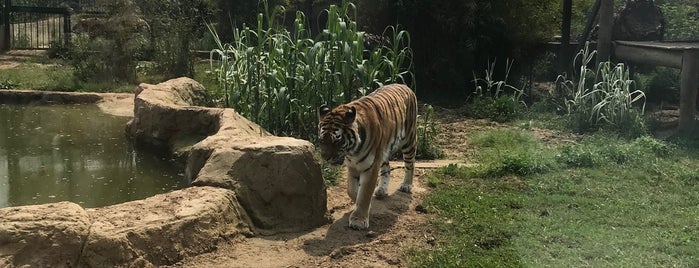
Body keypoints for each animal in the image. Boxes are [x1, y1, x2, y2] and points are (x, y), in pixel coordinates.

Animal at [320, 83, 418, 230]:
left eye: (336, 141)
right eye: (321, 140)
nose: (325, 158)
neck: (352, 151)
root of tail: (404, 85)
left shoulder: (370, 167)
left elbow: (365, 193)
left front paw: (358, 220)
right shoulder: (352, 166)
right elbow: (351, 190)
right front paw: (361, 204)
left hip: (408, 140)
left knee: (410, 164)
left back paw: (406, 185)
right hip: (383, 150)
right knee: (386, 167)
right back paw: (382, 189)